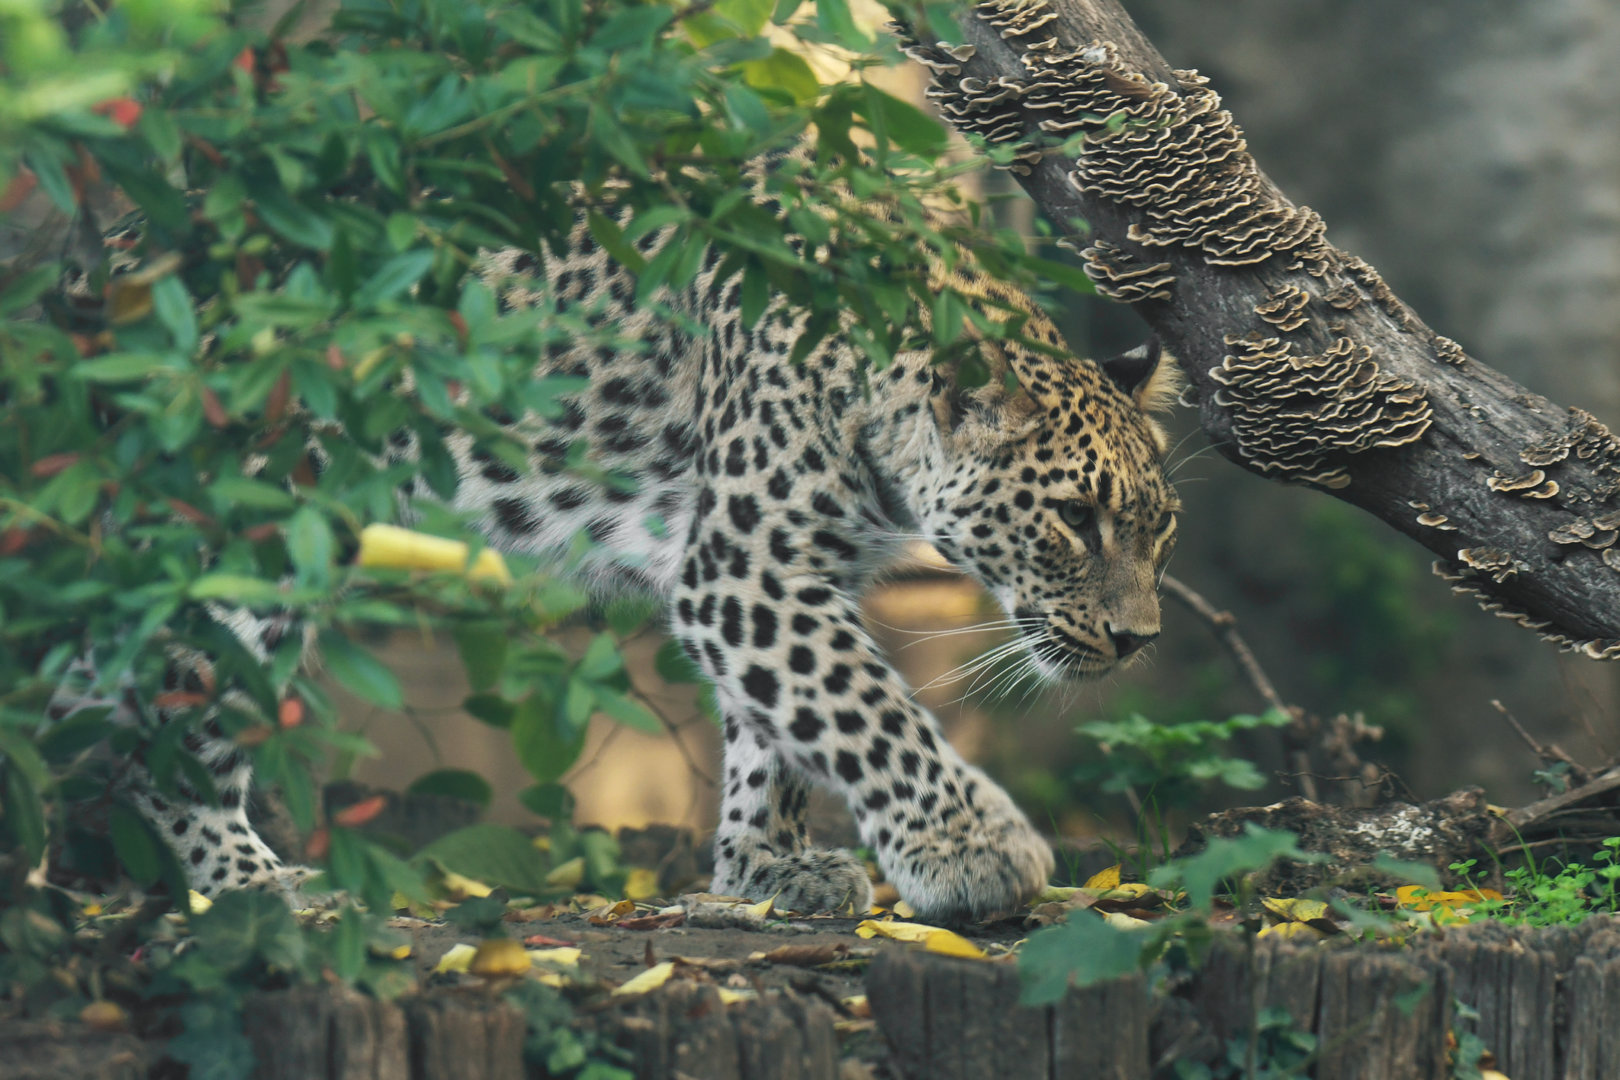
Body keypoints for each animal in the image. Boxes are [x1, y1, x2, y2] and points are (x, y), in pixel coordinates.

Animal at [47, 205, 1182, 926]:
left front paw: (768, 872)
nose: (1140, 642)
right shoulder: (745, 572)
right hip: (244, 540)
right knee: (162, 731)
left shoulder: (789, 575)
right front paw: (970, 854)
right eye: (1076, 518)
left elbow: (776, 734)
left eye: (1160, 528)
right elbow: (861, 706)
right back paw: (248, 886)